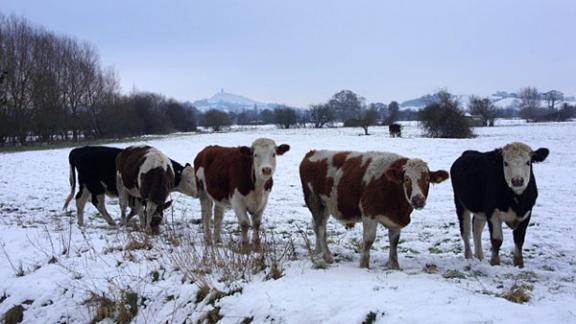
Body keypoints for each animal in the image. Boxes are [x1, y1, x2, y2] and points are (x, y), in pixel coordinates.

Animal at [63, 146, 198, 227]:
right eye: (189, 181)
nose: (198, 192)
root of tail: (78, 150)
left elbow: (135, 210)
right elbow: (138, 209)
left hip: (85, 185)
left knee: (80, 200)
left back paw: (81, 223)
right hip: (96, 187)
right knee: (98, 203)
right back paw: (112, 222)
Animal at [302, 151, 450, 270]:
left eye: (427, 179)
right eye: (407, 179)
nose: (418, 200)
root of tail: (312, 153)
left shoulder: (396, 222)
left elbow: (394, 242)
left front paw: (394, 266)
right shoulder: (369, 213)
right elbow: (369, 240)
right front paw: (364, 265)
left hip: (326, 206)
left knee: (316, 226)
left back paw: (317, 251)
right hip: (314, 201)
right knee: (320, 228)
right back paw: (327, 256)